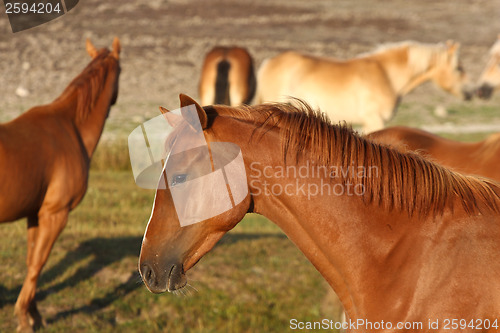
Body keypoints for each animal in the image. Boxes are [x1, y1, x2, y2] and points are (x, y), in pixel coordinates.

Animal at [0, 38, 121, 330]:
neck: (70, 127)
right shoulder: (55, 214)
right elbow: (38, 264)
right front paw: (24, 318)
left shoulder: (35, 214)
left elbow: (32, 261)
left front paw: (34, 314)